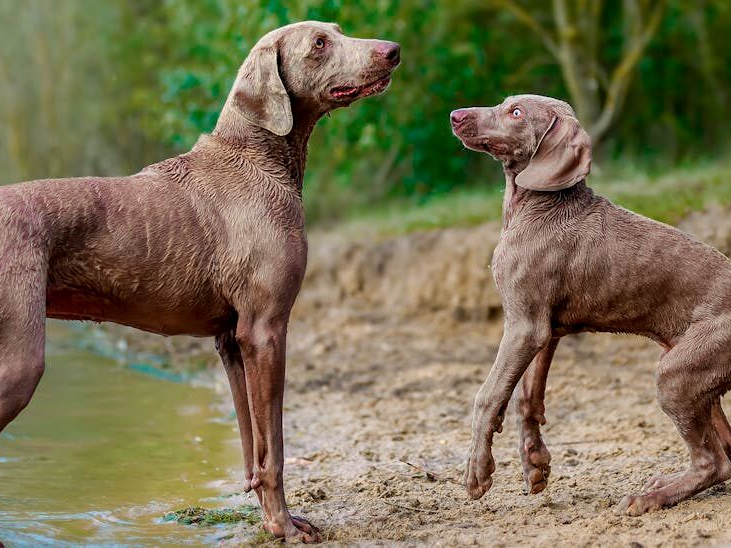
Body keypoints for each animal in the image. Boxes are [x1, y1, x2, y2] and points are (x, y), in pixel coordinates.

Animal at [0, 22, 400, 544]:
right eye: (319, 43)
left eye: (336, 31)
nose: (393, 51)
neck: (256, 156)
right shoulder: (266, 329)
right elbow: (275, 447)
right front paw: (285, 527)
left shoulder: (232, 339)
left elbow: (253, 446)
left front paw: (274, 519)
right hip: (20, 360)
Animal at [448, 95, 731, 520]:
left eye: (516, 112)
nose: (455, 115)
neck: (537, 205)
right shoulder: (544, 329)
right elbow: (526, 397)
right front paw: (535, 463)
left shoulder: (524, 326)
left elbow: (489, 394)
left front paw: (478, 472)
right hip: (693, 372)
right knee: (726, 452)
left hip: (677, 373)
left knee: (714, 461)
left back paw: (648, 499)